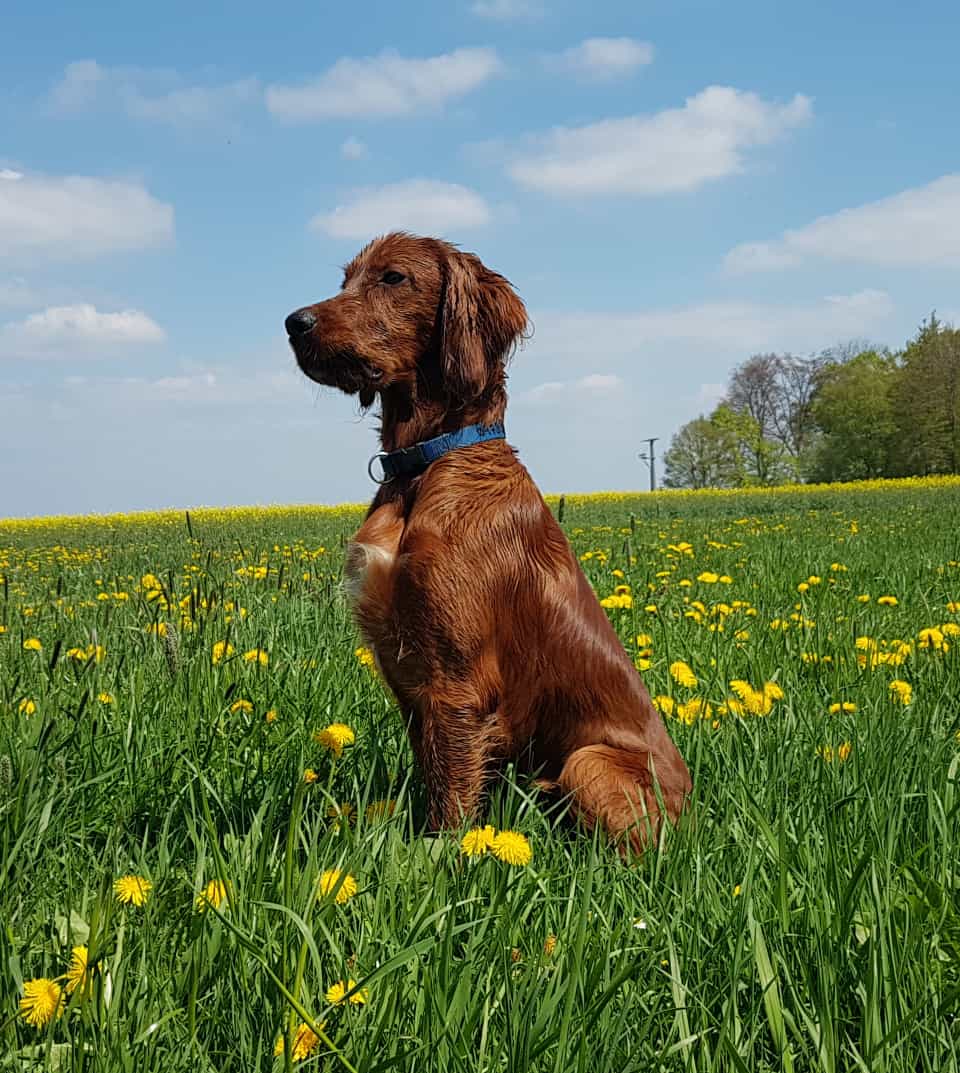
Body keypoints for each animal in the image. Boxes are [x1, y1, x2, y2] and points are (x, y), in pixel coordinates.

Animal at [286, 232, 691, 853]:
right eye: (345, 279)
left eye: (393, 278)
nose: (293, 322)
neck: (425, 465)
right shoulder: (415, 680)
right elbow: (434, 775)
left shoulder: (458, 682)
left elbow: (450, 804)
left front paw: (438, 859)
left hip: (589, 762)